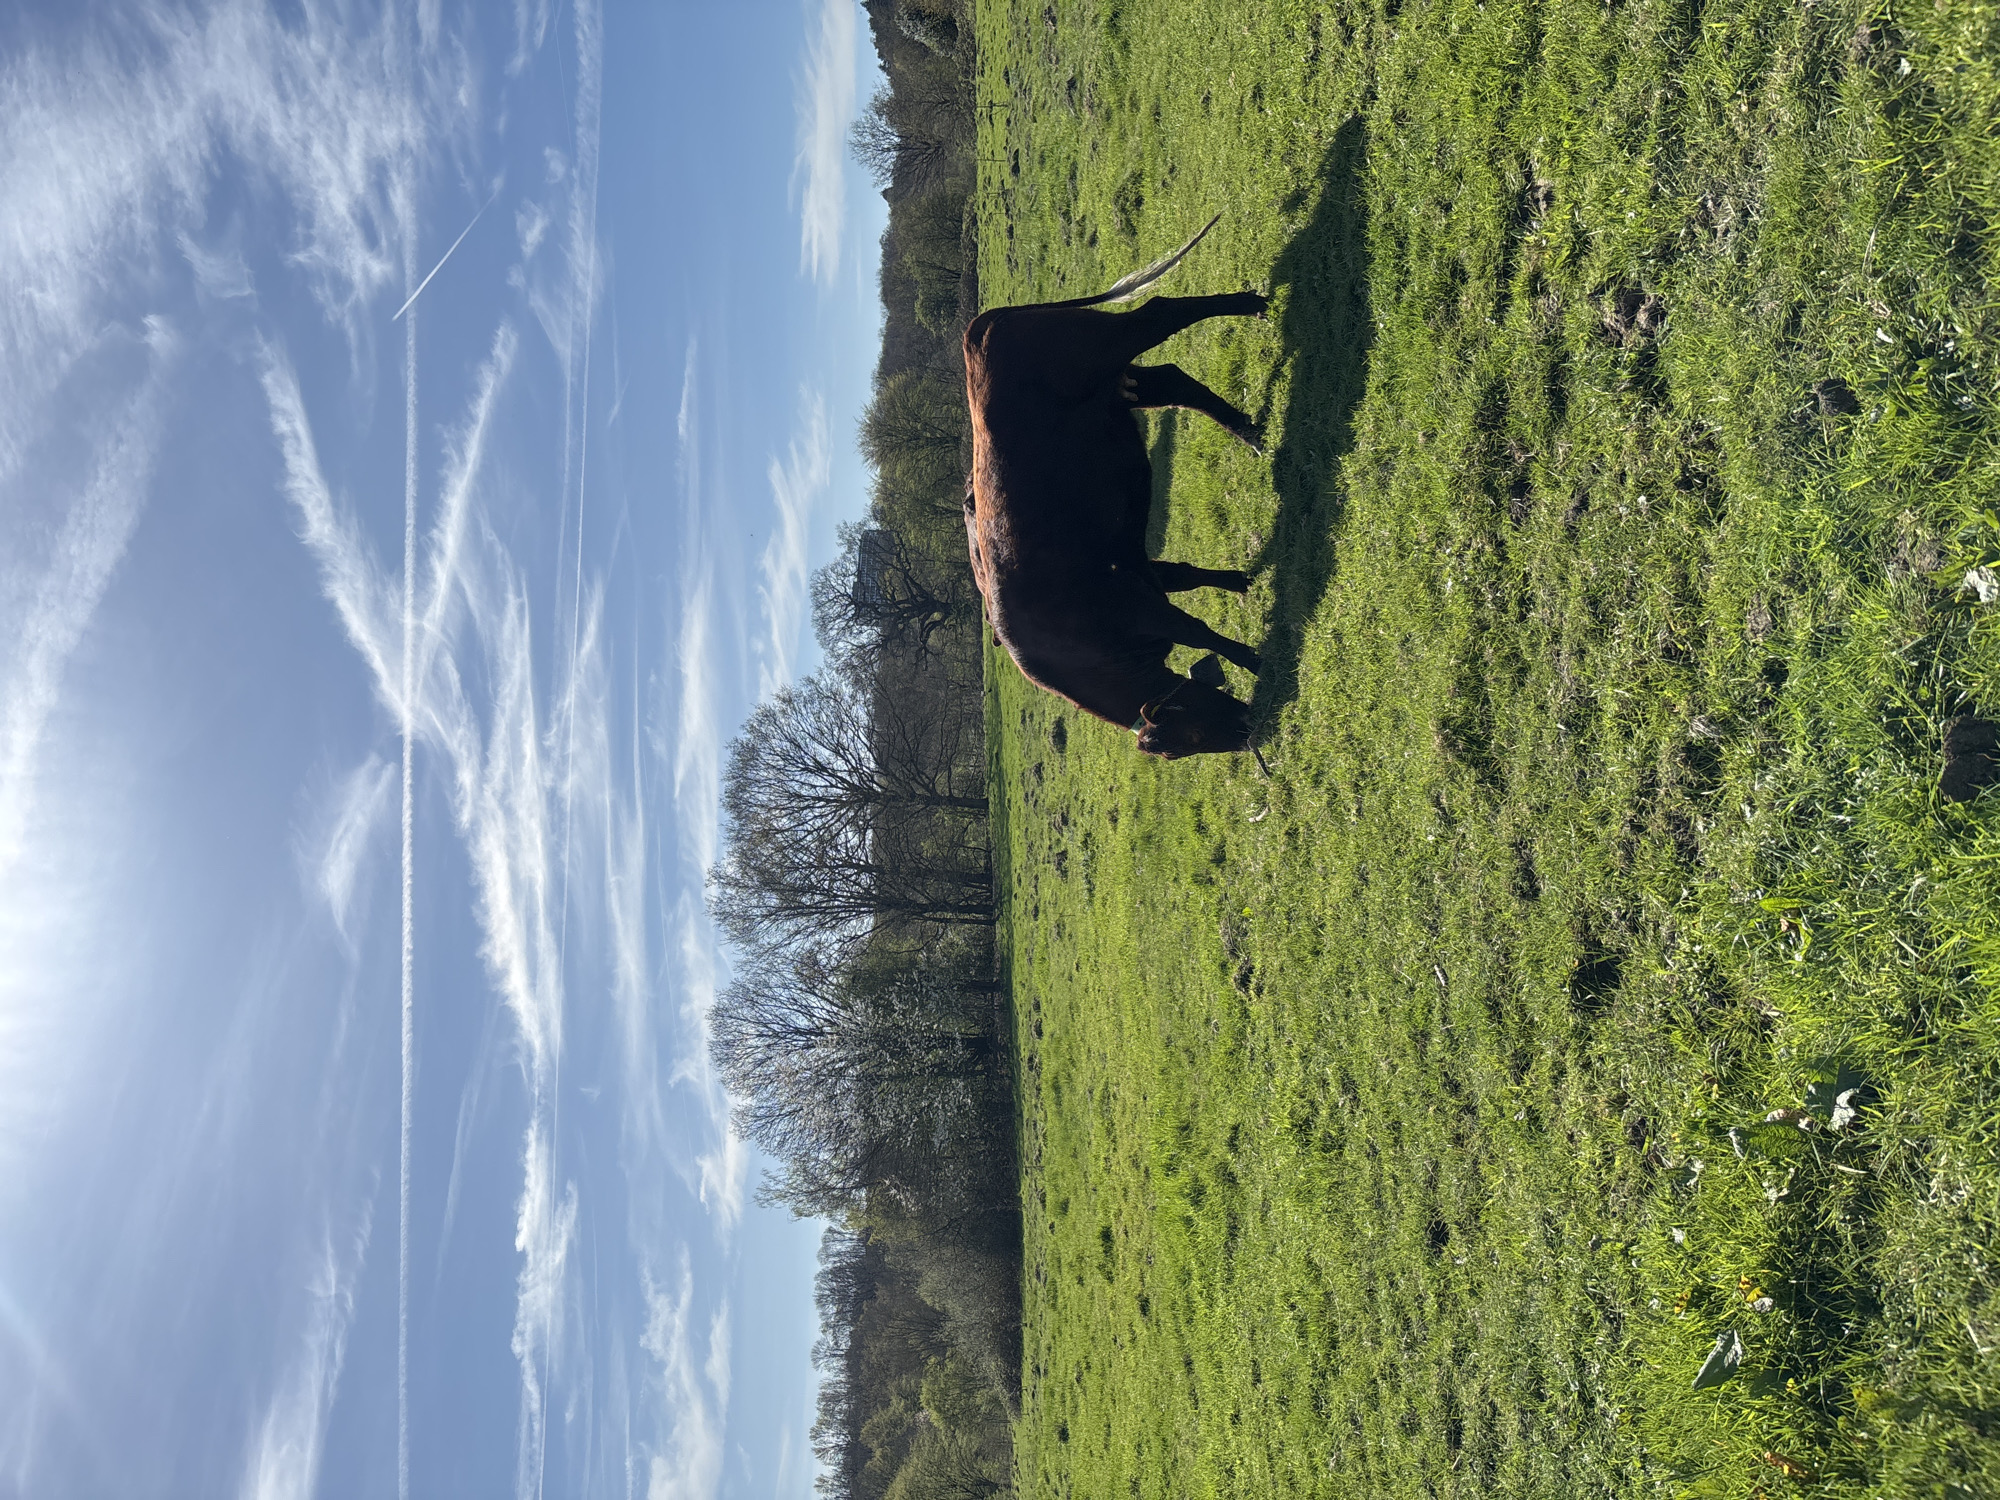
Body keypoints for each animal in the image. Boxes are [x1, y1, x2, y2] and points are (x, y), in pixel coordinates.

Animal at [962, 215, 1269, 761]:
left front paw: (1253, 659)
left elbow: (1199, 632)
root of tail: (978, 329)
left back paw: (1250, 304)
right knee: (1174, 380)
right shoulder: (1137, 570)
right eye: (1181, 749)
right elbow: (1188, 578)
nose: (1247, 730)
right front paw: (1242, 584)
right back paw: (1249, 432)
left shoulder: (1140, 606)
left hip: (1108, 344)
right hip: (1122, 385)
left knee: (1161, 312)